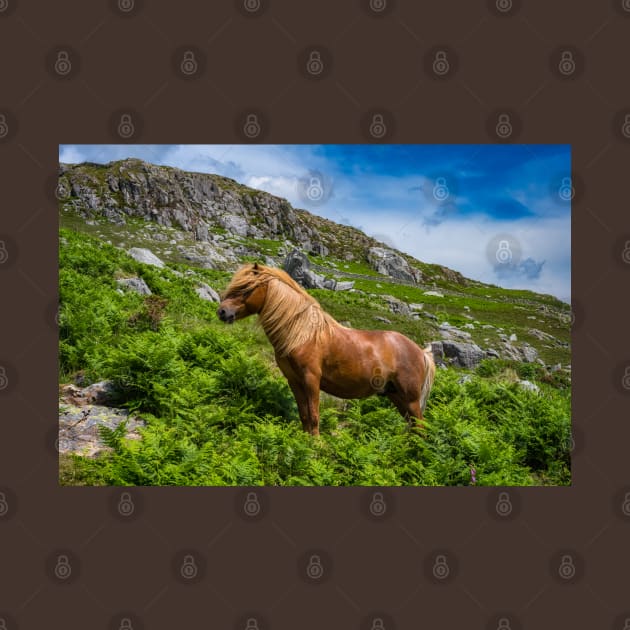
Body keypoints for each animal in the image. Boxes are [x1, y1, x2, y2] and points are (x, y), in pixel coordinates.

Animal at [217, 264, 434, 436]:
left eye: (246, 288)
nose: (222, 312)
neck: (302, 333)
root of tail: (421, 352)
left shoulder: (311, 379)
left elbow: (314, 415)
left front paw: (316, 445)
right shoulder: (294, 381)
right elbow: (304, 414)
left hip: (410, 399)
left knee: (420, 427)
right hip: (396, 396)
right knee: (413, 427)